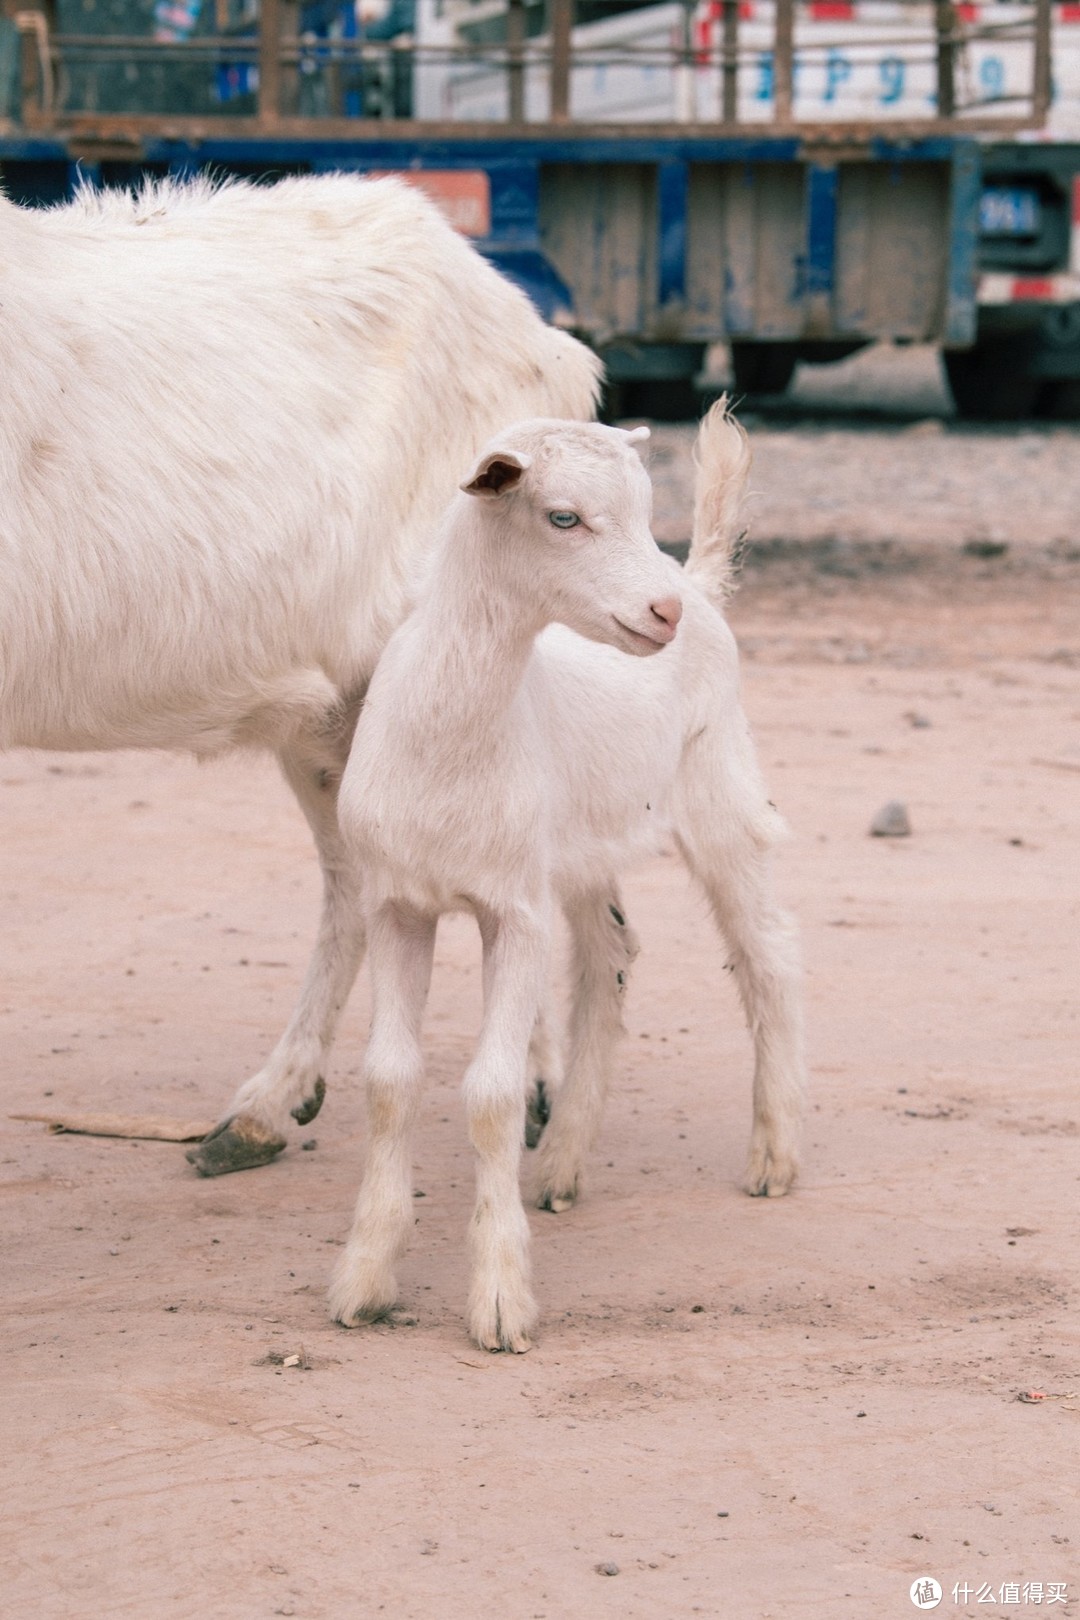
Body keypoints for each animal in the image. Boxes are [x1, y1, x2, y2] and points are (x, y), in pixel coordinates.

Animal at [333, 401, 806, 1354]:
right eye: (562, 517)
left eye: (643, 508)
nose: (659, 611)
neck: (451, 737)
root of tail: (703, 581)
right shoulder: (397, 902)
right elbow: (389, 1081)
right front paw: (365, 1278)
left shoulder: (513, 910)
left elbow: (490, 1093)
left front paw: (500, 1300)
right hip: (583, 847)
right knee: (609, 960)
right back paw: (560, 1166)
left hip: (720, 788)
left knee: (767, 954)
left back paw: (772, 1153)